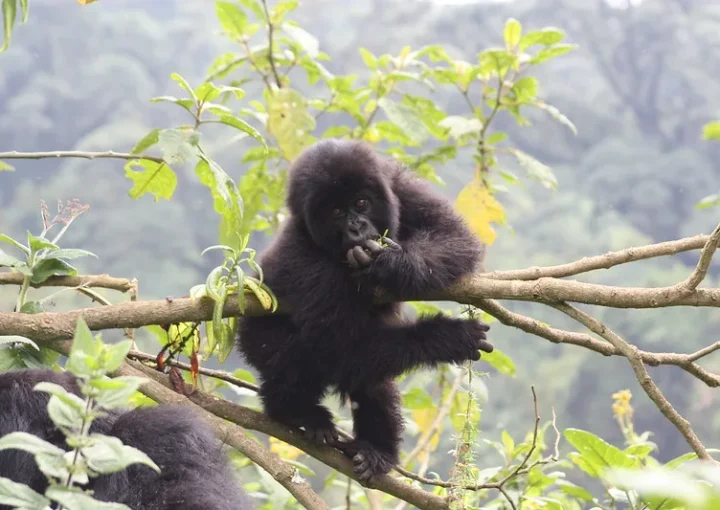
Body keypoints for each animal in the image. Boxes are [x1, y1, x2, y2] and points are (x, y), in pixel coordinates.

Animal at [237, 139, 493, 483]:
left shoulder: (401, 188)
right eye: (335, 211)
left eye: (361, 203)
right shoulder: (308, 264)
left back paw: (376, 450)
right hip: (254, 336)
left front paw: (392, 265)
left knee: (374, 379)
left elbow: (452, 236)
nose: (356, 228)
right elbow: (336, 352)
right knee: (294, 356)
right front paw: (447, 337)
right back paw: (292, 410)